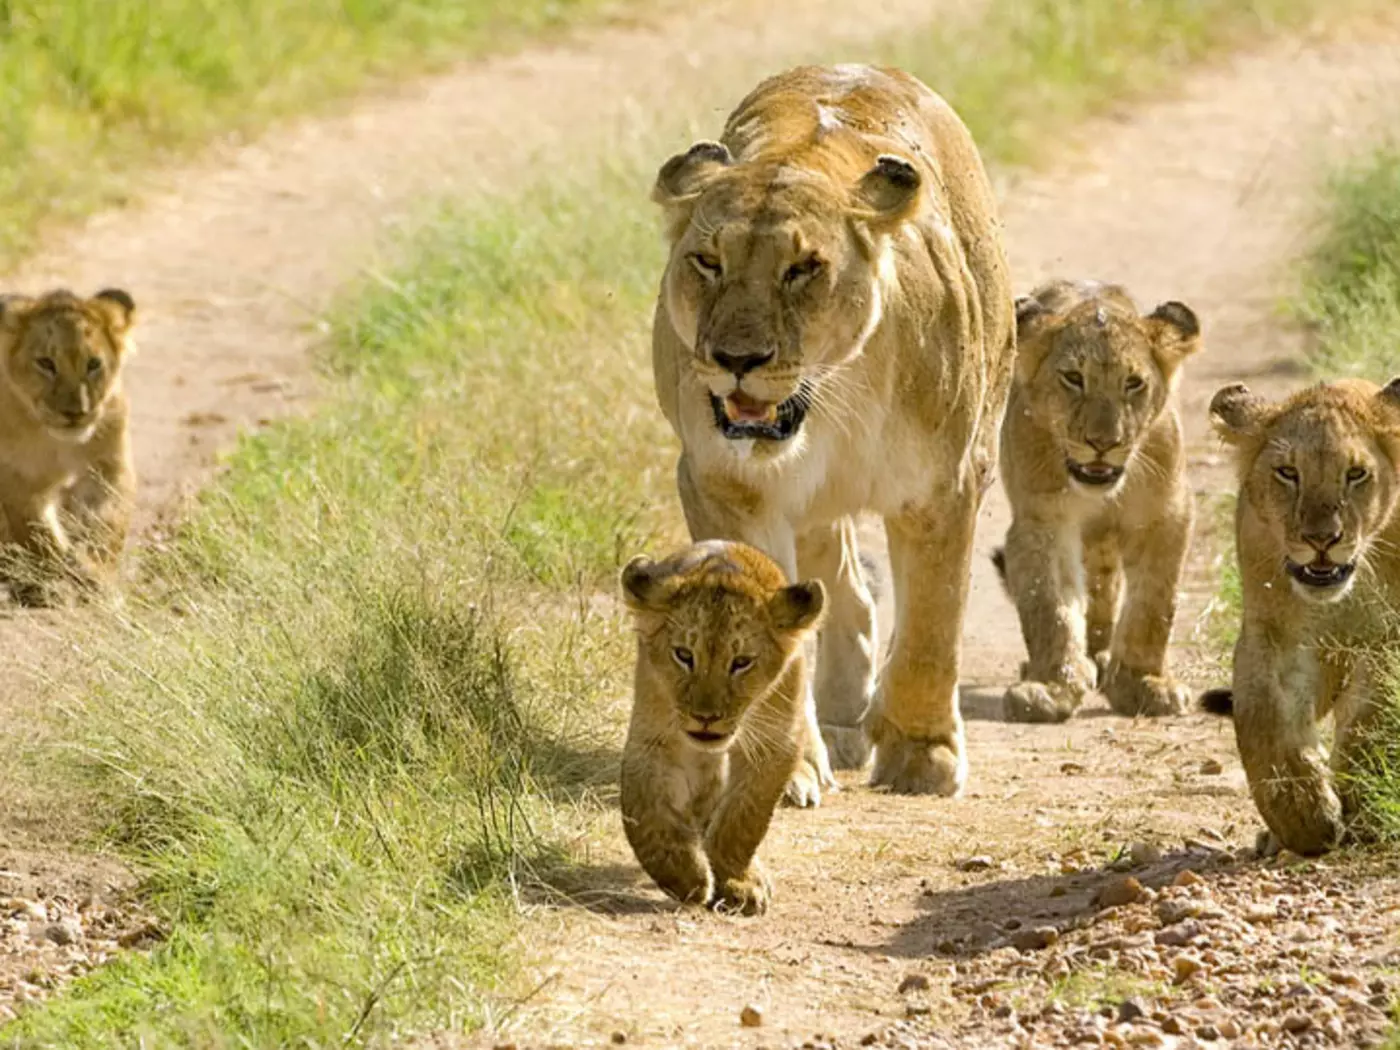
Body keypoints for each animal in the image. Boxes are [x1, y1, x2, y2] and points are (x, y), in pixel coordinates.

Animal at [0, 288, 137, 605]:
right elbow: (39, 535)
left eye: (93, 364)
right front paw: (60, 576)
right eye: (46, 363)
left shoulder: (107, 468)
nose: (75, 413)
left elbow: (107, 522)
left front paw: (95, 572)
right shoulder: (19, 482)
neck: (58, 445)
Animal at [619, 541, 825, 915]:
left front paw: (738, 883)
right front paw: (686, 878)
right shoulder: (653, 737)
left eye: (741, 662)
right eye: (684, 655)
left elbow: (744, 819)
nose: (706, 717)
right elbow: (644, 813)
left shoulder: (774, 743)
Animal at [650, 64, 1014, 799]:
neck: (831, 397)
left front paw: (923, 756)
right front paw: (781, 767)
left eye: (802, 269)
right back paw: (844, 714)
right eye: (707, 261)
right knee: (843, 581)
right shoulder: (723, 484)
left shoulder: (945, 487)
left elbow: (934, 626)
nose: (737, 359)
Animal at [992, 279, 1202, 723]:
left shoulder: (1165, 514)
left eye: (1133, 383)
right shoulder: (1043, 520)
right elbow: (1050, 606)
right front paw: (1051, 687)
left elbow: (1153, 605)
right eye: (1073, 378)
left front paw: (1143, 684)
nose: (1103, 443)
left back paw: (1103, 659)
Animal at [1205, 378, 1400, 855]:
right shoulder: (1274, 636)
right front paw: (1305, 819)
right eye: (1288, 473)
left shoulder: (1388, 639)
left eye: (1356, 474)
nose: (1321, 540)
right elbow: (1264, 721)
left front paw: (1362, 800)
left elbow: (1371, 716)